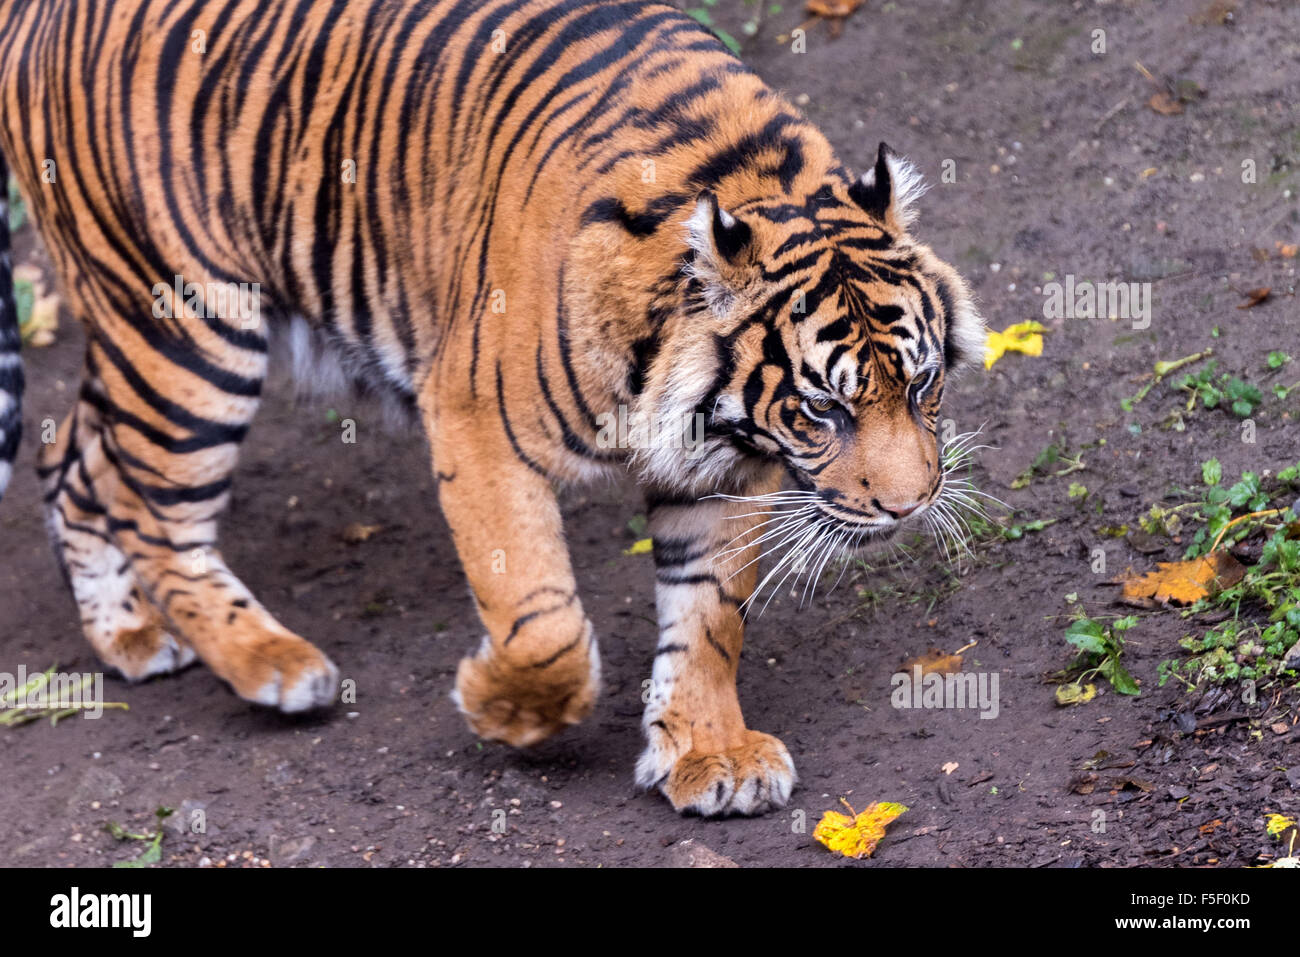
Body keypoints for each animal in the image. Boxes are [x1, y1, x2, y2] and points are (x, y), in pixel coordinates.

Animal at [0, 0, 977, 816]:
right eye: (821, 409)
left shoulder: (721, 464)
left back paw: (128, 633)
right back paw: (273, 666)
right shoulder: (476, 422)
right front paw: (501, 707)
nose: (909, 505)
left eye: (922, 384)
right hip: (185, 329)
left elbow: (707, 618)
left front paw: (710, 753)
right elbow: (543, 618)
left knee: (74, 464)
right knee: (156, 518)